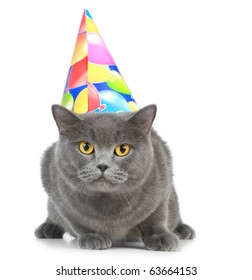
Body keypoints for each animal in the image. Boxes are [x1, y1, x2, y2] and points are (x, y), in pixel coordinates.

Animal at [34, 104, 195, 250]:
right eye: (85, 147)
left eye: (122, 149)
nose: (102, 165)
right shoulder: (56, 190)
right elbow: (77, 221)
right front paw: (93, 236)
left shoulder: (162, 179)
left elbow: (156, 215)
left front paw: (160, 236)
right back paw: (48, 228)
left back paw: (183, 230)